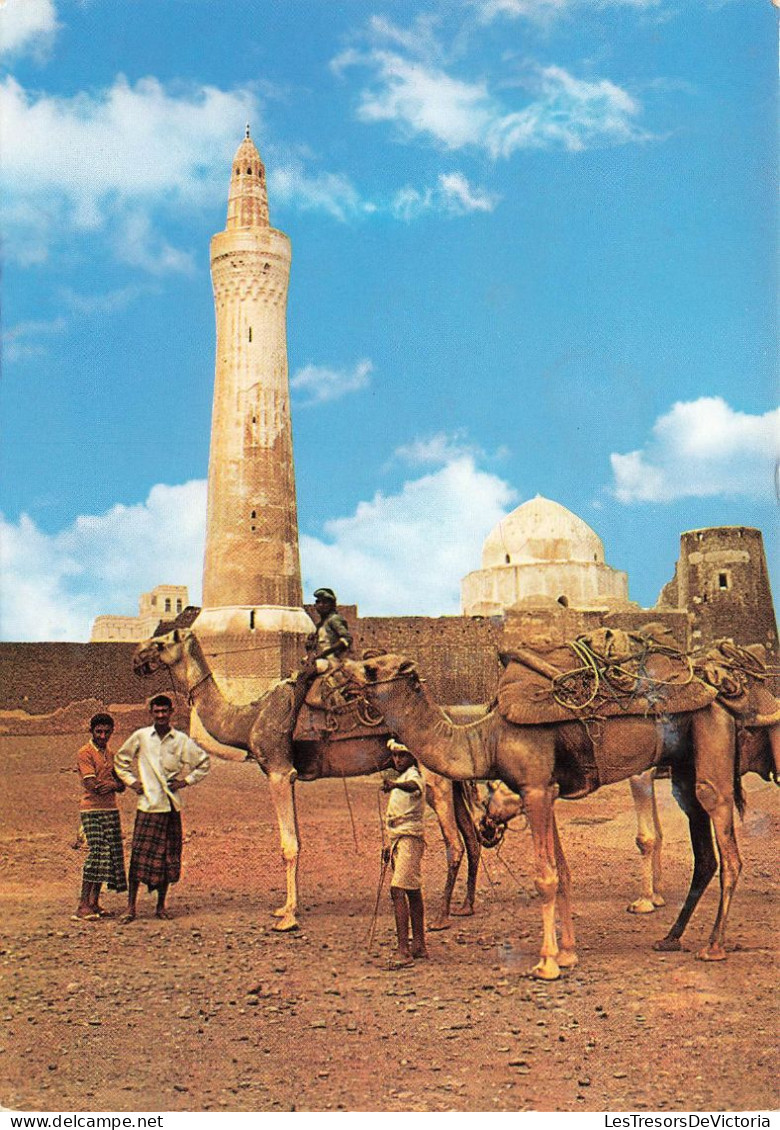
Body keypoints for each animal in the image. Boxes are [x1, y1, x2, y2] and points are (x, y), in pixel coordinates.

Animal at [130, 623, 477, 931]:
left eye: (161, 643)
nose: (136, 658)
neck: (248, 718)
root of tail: (445, 717)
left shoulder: (278, 771)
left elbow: (288, 845)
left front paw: (288, 918)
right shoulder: (290, 776)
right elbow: (297, 840)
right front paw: (285, 907)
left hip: (434, 778)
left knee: (454, 843)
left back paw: (441, 917)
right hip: (452, 781)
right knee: (471, 840)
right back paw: (465, 906)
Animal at [345, 655, 773, 980]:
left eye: (371, 668)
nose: (342, 676)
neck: (486, 738)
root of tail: (722, 692)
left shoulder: (534, 789)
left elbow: (545, 878)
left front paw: (547, 963)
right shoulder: (546, 791)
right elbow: (564, 874)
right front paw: (568, 954)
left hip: (710, 743)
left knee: (727, 843)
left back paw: (713, 946)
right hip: (685, 761)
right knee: (704, 853)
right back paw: (669, 938)